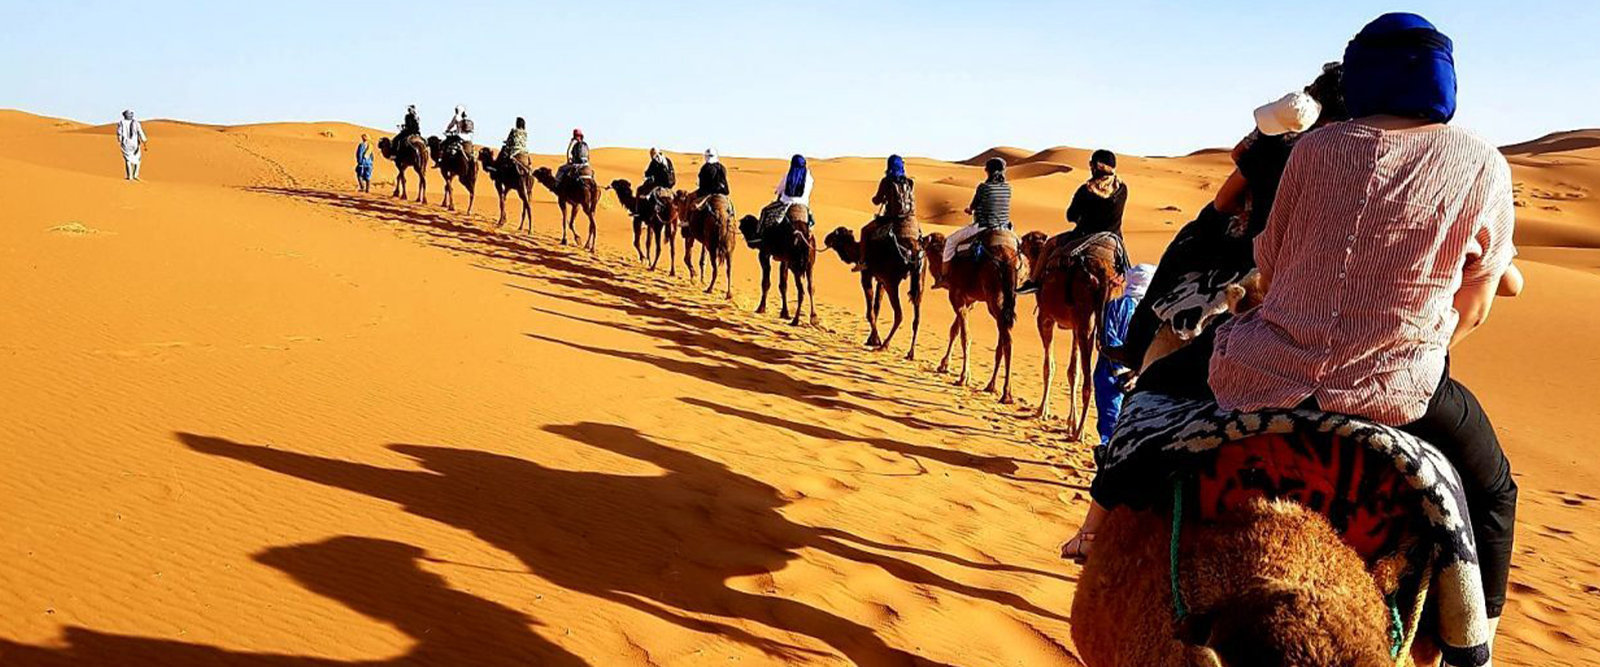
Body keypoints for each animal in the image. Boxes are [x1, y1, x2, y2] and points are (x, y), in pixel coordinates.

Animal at [825, 225, 928, 358]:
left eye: (835, 234)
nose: (826, 239)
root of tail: (914, 251)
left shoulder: (867, 275)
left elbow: (870, 312)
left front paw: (876, 340)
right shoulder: (881, 280)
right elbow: (876, 307)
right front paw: (871, 339)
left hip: (892, 282)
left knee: (899, 314)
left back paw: (884, 345)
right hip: (920, 279)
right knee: (917, 316)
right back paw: (910, 353)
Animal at [921, 231, 1017, 399]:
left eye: (928, 240)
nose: (920, 239)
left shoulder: (956, 295)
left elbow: (965, 336)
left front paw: (963, 377)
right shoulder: (970, 301)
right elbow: (955, 330)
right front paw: (944, 365)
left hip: (995, 299)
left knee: (1007, 341)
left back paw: (1006, 394)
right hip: (1004, 303)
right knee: (1003, 338)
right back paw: (991, 386)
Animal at [1024, 228, 1126, 435]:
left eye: (1026, 241)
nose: (1019, 242)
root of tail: (1104, 273)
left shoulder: (1045, 318)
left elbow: (1049, 366)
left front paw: (1042, 411)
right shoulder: (1075, 326)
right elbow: (1073, 371)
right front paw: (1071, 420)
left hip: (1085, 314)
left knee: (1089, 381)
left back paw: (1080, 433)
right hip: (1109, 312)